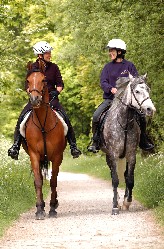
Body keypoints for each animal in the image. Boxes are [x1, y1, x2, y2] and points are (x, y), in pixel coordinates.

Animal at [24, 64, 66, 220]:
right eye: (28, 81)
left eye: (43, 80)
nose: (35, 99)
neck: (43, 125)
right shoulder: (34, 155)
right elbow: (38, 181)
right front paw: (39, 209)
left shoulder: (57, 156)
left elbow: (53, 181)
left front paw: (52, 207)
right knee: (41, 179)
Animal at [100, 73, 156, 214]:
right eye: (137, 91)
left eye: (148, 89)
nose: (150, 109)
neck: (124, 123)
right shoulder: (113, 154)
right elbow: (115, 180)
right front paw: (115, 206)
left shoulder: (131, 154)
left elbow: (129, 179)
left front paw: (127, 202)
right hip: (109, 156)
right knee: (113, 175)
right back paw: (116, 200)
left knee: (124, 175)